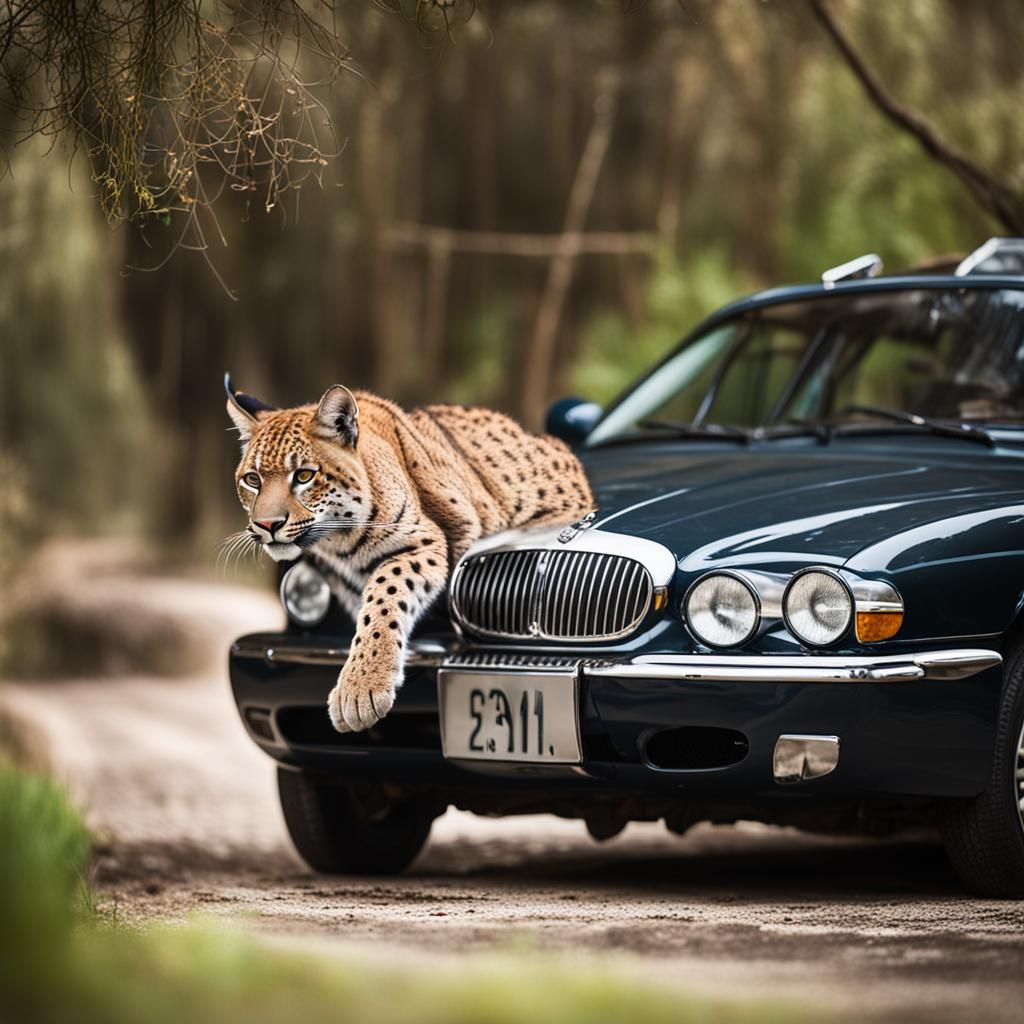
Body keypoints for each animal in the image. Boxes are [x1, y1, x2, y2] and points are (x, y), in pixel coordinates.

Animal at [225, 376, 594, 733]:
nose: (267, 524)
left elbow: (384, 591)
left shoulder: (425, 541)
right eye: (252, 480)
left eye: (304, 475)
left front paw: (361, 687)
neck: (339, 545)